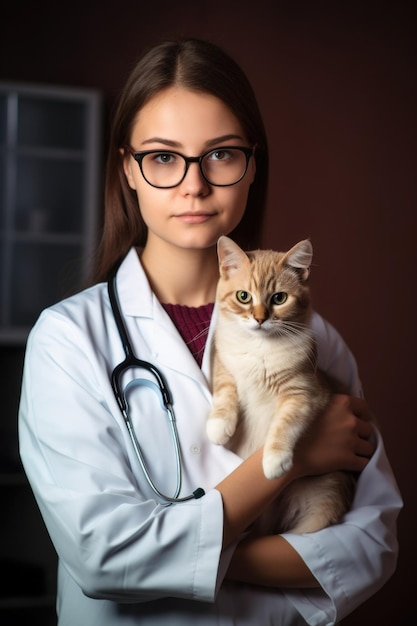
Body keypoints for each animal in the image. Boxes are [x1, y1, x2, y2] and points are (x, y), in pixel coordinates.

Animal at [206, 234, 354, 532]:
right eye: (243, 296)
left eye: (279, 298)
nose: (260, 318)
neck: (259, 348)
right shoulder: (224, 366)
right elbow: (225, 394)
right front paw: (219, 427)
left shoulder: (304, 392)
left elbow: (285, 424)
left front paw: (275, 460)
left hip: (319, 507)